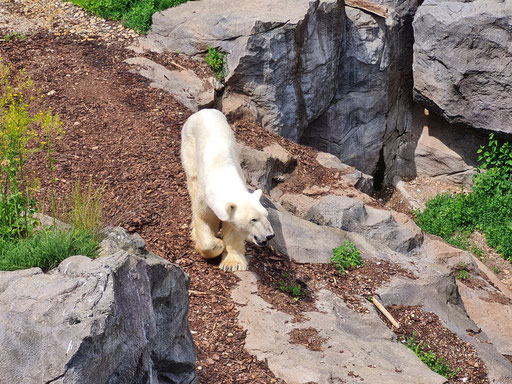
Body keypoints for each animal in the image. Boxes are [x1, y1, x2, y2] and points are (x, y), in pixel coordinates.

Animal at [181, 108, 274, 272]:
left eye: (266, 215)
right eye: (253, 219)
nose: (270, 236)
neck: (223, 176)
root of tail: (205, 110)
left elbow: (233, 229)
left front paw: (231, 263)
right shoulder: (204, 198)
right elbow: (203, 218)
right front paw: (217, 244)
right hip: (189, 143)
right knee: (192, 178)